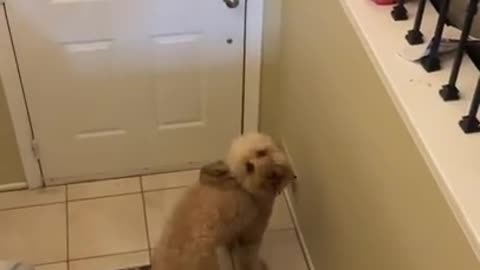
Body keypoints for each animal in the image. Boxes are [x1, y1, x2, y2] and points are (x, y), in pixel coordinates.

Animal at [152, 133, 296, 270]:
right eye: (249, 167)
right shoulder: (252, 233)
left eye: (261, 152)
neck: (244, 187)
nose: (272, 174)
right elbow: (249, 258)